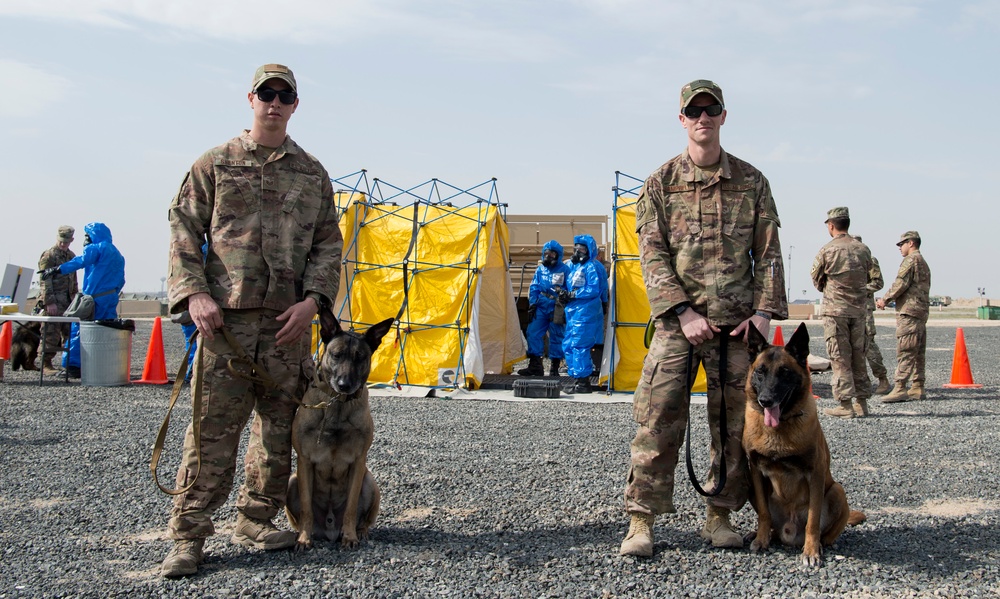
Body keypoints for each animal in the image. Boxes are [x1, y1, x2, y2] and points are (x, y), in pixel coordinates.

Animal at [286, 312, 394, 552]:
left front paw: (350, 537)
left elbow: (351, 508)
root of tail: (329, 530)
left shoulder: (358, 462)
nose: (344, 384)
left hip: (369, 481)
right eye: (336, 355)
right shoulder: (304, 461)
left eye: (359, 357)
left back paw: (359, 532)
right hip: (292, 481)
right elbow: (306, 507)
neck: (337, 404)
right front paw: (304, 539)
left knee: (364, 520)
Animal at [744, 324, 868, 568]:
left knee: (826, 533)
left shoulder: (815, 474)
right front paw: (761, 539)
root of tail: (789, 532)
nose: (766, 400)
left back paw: (819, 544)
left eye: (784, 372)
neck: (779, 427)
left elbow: (813, 519)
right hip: (751, 488)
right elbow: (763, 513)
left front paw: (811, 552)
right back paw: (764, 534)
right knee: (772, 525)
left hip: (837, 491)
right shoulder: (755, 472)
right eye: (760, 371)